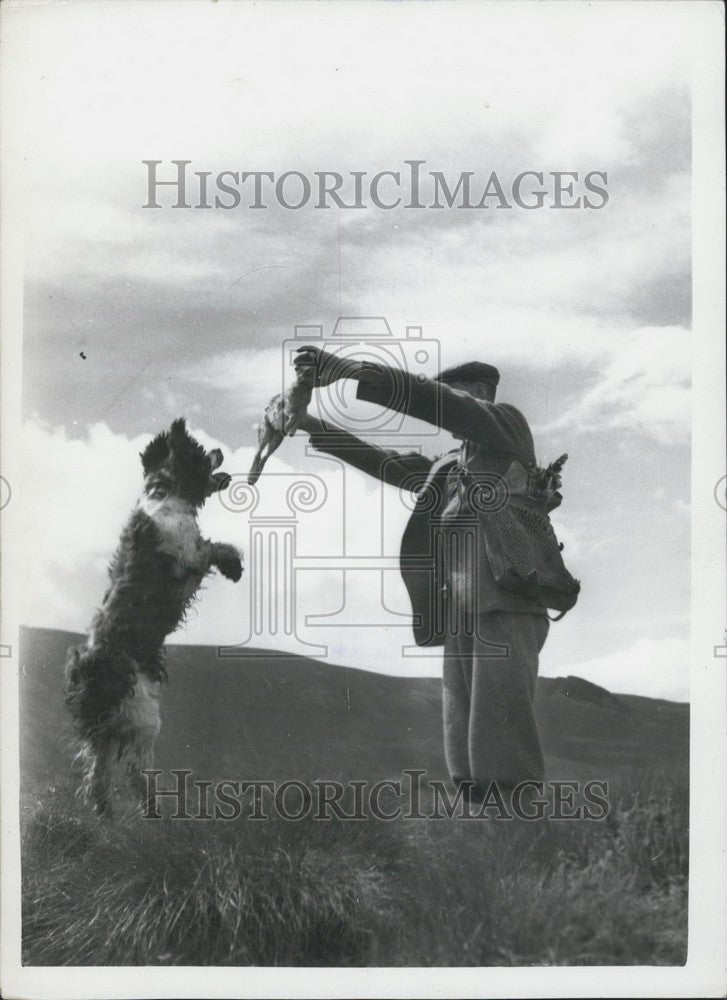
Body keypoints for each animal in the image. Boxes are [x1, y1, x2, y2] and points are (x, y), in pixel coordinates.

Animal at [64, 418, 243, 816]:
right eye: (200, 452)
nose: (219, 450)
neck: (164, 495)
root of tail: (86, 667)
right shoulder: (188, 552)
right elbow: (215, 546)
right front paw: (234, 564)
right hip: (142, 714)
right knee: (133, 769)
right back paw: (158, 811)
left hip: (109, 724)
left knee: (98, 775)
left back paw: (108, 816)